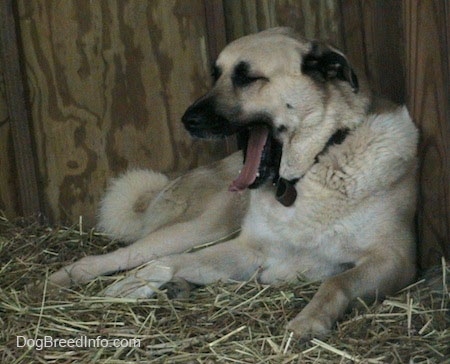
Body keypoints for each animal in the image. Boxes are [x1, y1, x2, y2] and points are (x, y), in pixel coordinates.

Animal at [38, 27, 418, 338]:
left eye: (247, 78)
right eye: (216, 75)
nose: (186, 120)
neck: (312, 167)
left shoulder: (394, 259)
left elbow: (336, 282)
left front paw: (309, 321)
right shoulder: (248, 250)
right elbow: (163, 263)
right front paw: (135, 284)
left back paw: (176, 287)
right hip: (201, 228)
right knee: (125, 255)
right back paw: (62, 279)